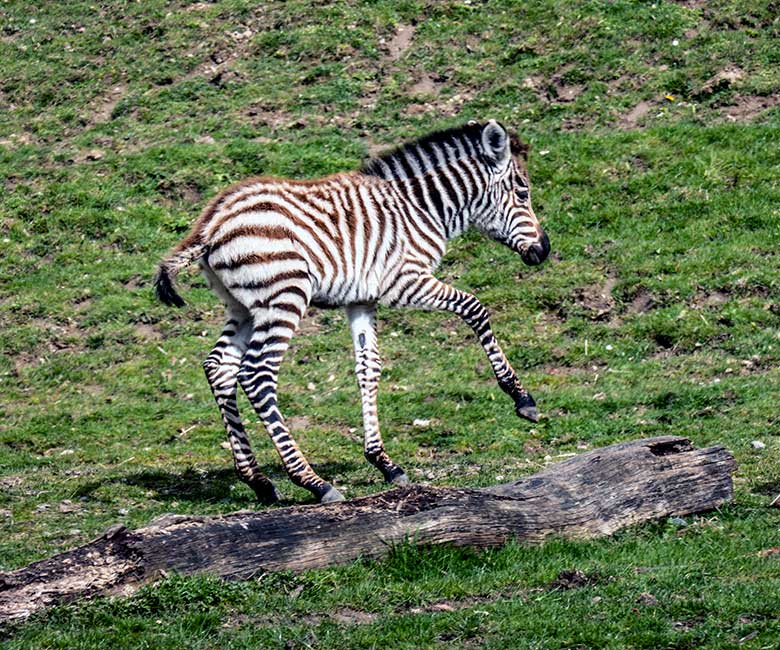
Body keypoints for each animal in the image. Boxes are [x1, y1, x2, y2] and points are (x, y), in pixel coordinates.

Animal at [155, 119, 552, 504]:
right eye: (523, 193)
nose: (544, 250)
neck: (421, 209)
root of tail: (212, 222)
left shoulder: (362, 299)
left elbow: (368, 368)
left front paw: (383, 462)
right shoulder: (404, 281)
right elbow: (474, 308)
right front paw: (521, 397)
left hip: (243, 307)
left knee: (219, 367)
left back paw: (259, 481)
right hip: (284, 297)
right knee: (256, 374)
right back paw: (313, 482)